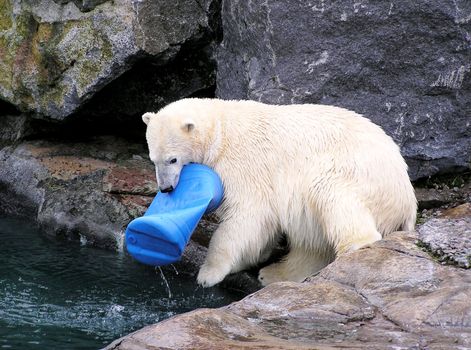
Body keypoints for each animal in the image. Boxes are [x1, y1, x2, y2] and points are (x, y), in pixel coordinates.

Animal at [143, 98, 416, 288]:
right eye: (153, 159)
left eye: (172, 159)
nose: (166, 188)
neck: (221, 131)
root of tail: (408, 199)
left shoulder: (245, 166)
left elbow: (247, 215)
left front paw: (208, 274)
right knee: (313, 242)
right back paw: (273, 274)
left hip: (355, 172)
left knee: (331, 195)